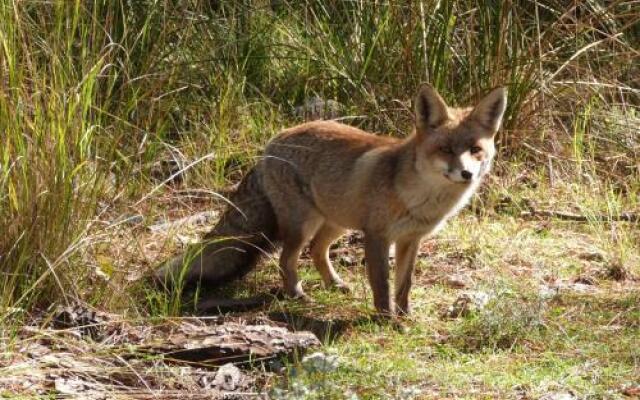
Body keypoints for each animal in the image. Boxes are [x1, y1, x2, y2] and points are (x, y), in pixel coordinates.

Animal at [155, 84, 504, 316]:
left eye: (475, 150)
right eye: (444, 149)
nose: (466, 174)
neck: (418, 197)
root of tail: (271, 144)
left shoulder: (410, 239)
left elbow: (404, 284)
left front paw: (405, 317)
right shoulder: (377, 236)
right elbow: (382, 284)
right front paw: (386, 319)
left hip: (336, 222)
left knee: (316, 251)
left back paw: (334, 285)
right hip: (303, 224)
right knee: (287, 259)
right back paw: (297, 295)